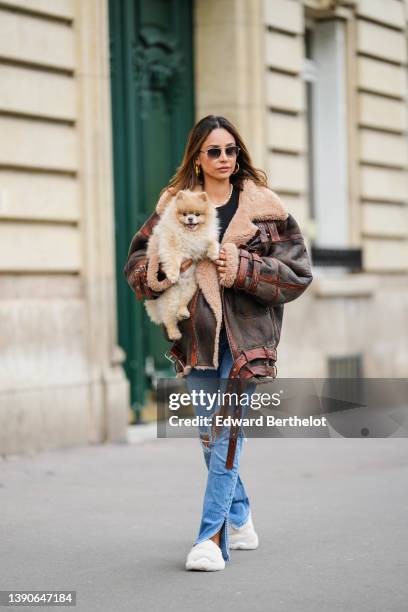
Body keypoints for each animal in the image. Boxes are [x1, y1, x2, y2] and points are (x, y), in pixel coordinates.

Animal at [144, 190, 220, 340]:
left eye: (197, 214)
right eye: (184, 214)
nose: (190, 219)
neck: (189, 233)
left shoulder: (200, 245)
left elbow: (211, 242)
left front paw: (214, 253)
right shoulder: (171, 247)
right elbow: (172, 260)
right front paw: (173, 275)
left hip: (190, 289)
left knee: (182, 304)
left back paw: (183, 313)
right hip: (170, 299)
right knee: (168, 319)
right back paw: (174, 334)